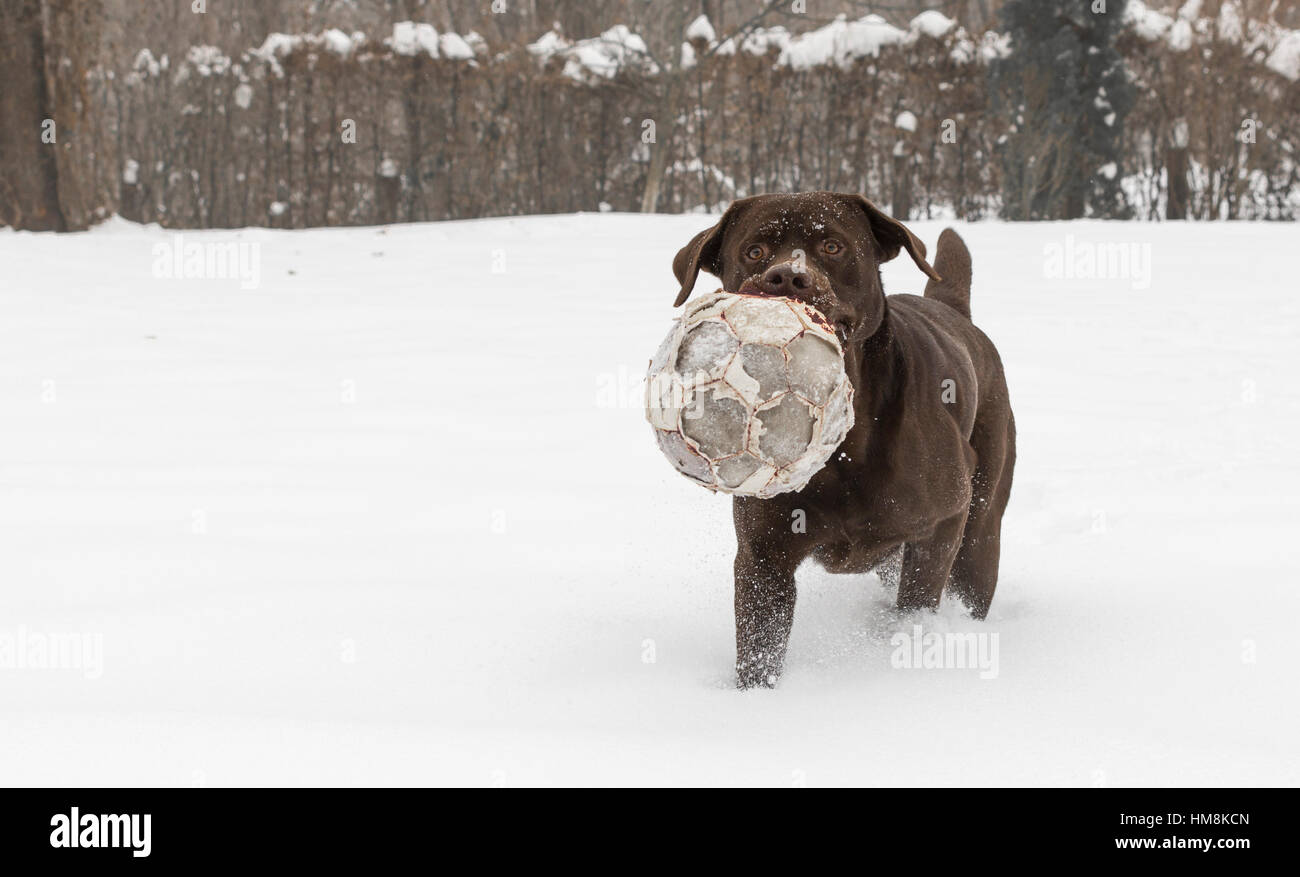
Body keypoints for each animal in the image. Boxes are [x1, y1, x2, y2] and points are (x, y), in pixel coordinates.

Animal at [670, 193, 1013, 691]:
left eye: (832, 246)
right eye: (754, 251)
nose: (787, 276)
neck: (844, 442)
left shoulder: (942, 521)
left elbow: (918, 598)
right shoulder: (763, 553)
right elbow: (758, 647)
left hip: (980, 527)